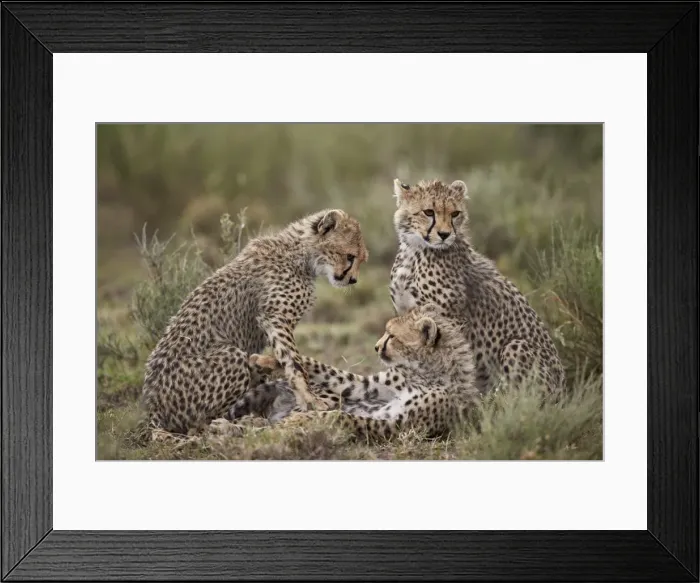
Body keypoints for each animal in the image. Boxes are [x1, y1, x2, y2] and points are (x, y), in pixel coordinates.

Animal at [138, 207, 369, 443]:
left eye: (360, 260)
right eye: (350, 256)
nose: (353, 280)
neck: (299, 252)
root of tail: (152, 407)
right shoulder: (275, 317)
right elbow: (293, 362)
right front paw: (310, 400)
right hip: (231, 355)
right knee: (201, 424)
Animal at [227, 303, 479, 441]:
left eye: (392, 336)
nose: (376, 347)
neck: (422, 371)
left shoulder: (399, 424)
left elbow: (342, 417)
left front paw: (302, 419)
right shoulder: (366, 385)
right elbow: (325, 369)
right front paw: (268, 359)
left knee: (259, 427)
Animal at [388, 177, 566, 396]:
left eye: (455, 214)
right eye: (428, 212)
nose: (445, 234)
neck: (414, 251)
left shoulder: (450, 320)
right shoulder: (405, 313)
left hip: (515, 346)